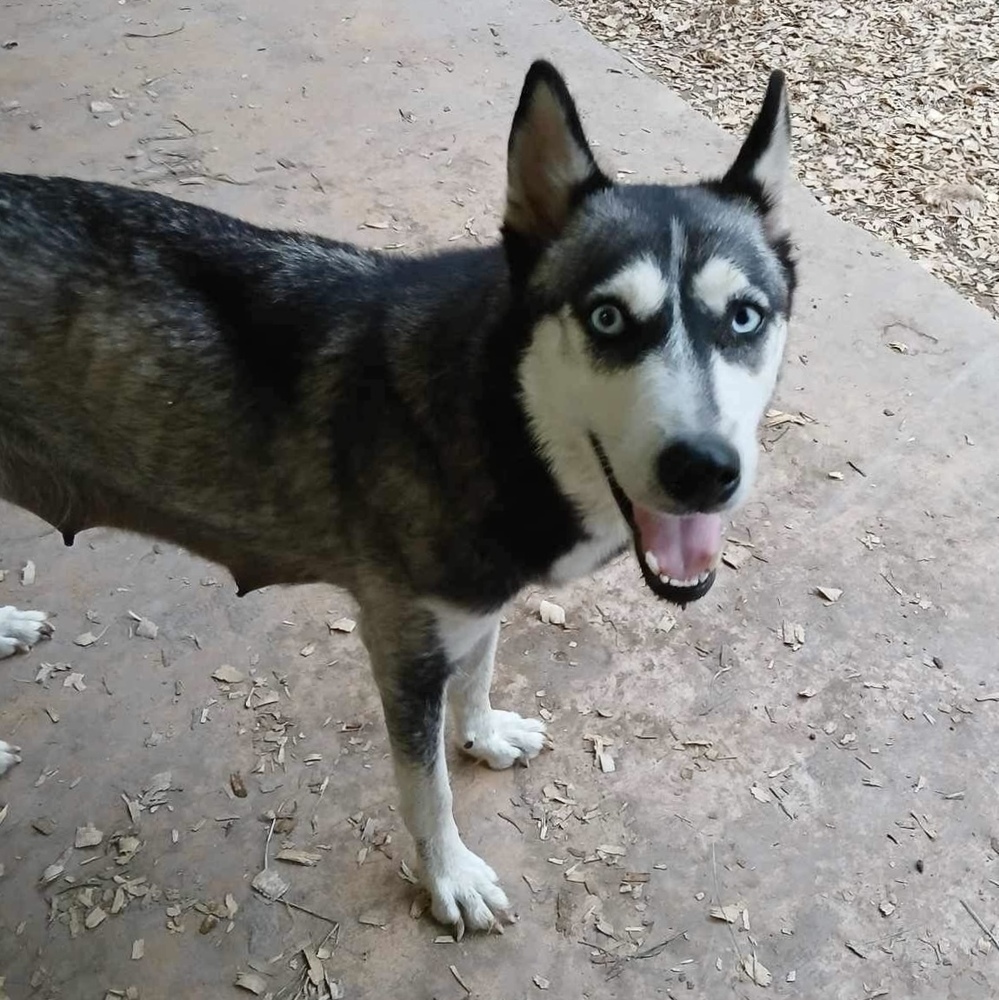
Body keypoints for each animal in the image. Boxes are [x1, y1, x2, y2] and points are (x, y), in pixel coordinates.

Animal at [1, 62, 796, 932]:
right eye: (608, 317)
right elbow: (427, 790)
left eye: (745, 316)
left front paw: (482, 734)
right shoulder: (404, 646)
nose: (704, 469)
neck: (497, 412)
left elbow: (480, 669)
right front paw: (447, 875)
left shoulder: (473, 599)